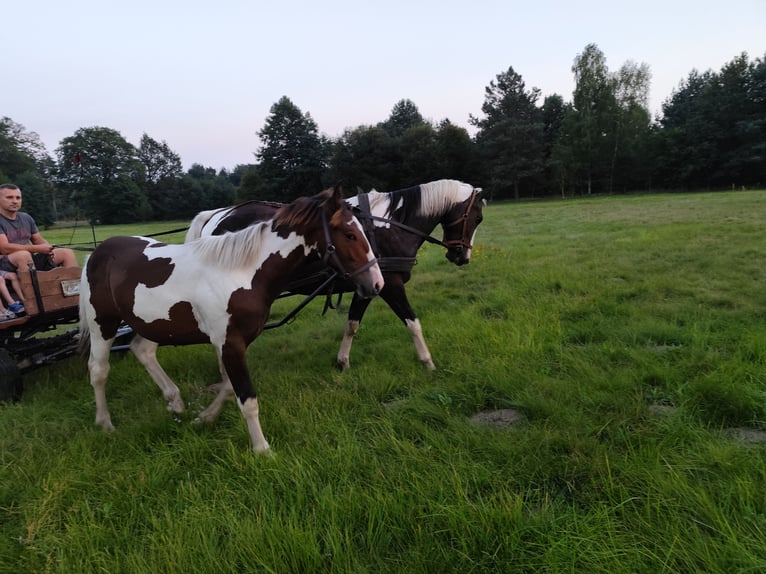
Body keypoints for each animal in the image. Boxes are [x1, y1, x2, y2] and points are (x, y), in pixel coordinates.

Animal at [79, 188, 384, 454]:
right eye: (350, 234)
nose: (376, 283)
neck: (243, 273)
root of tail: (98, 252)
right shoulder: (229, 342)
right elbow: (246, 398)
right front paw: (262, 450)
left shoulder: (231, 343)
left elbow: (228, 388)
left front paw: (204, 418)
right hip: (103, 324)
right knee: (98, 370)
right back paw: (105, 423)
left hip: (152, 324)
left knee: (142, 350)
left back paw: (175, 402)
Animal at [187, 178, 486, 372]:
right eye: (478, 218)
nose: (461, 256)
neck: (388, 226)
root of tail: (218, 214)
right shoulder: (390, 284)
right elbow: (412, 322)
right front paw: (428, 362)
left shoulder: (369, 284)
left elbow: (352, 323)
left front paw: (342, 361)